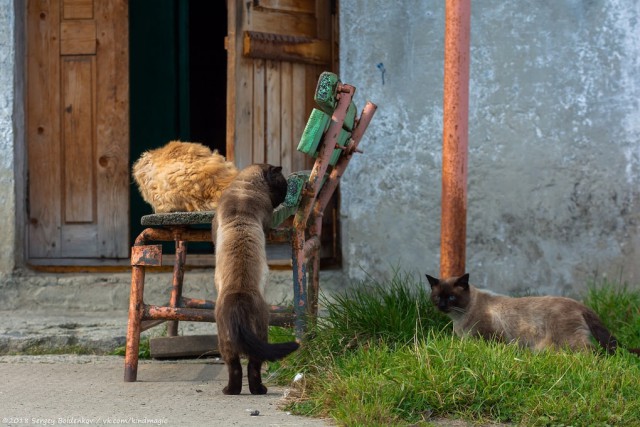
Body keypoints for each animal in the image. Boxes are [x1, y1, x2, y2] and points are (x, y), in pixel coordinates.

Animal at [211, 163, 298, 394]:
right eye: (282, 188)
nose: (282, 200)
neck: (244, 189)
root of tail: (238, 297)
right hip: (255, 331)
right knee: (250, 365)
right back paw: (254, 390)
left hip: (228, 339)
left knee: (239, 366)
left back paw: (235, 391)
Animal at [424, 274, 640, 358]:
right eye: (437, 297)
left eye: (452, 297)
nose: (442, 306)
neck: (459, 319)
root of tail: (579, 304)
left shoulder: (492, 337)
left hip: (570, 341)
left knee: (592, 352)